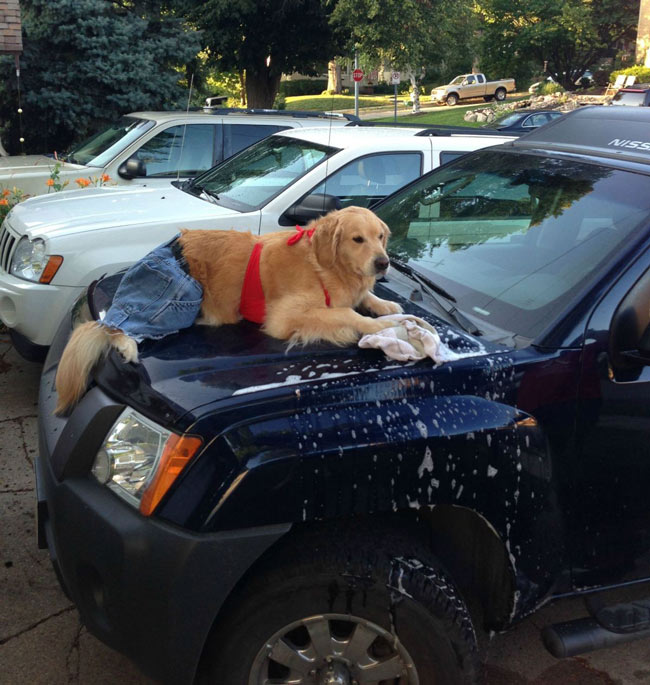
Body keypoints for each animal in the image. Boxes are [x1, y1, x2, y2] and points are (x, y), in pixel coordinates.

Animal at [54, 206, 400, 412]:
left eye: (381, 236)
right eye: (357, 239)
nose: (383, 262)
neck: (322, 263)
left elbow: (365, 298)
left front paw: (385, 304)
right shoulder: (285, 315)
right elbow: (346, 313)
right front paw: (378, 326)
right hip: (180, 297)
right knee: (114, 325)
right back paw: (126, 344)